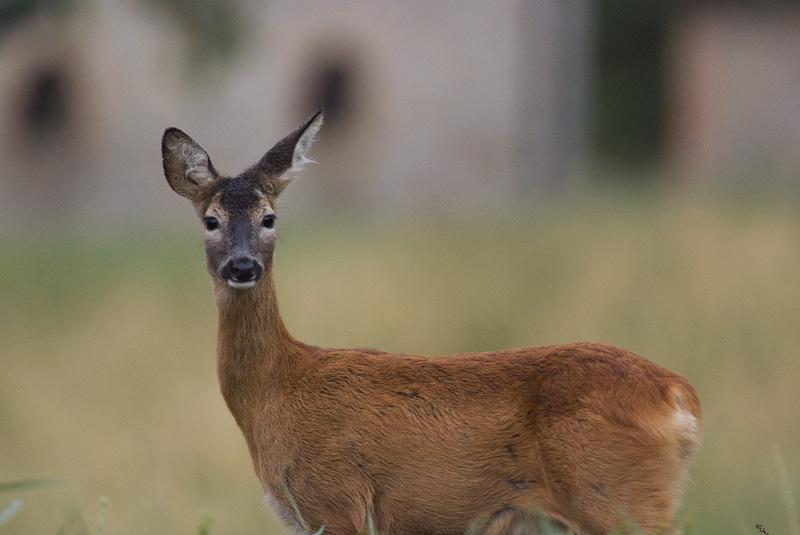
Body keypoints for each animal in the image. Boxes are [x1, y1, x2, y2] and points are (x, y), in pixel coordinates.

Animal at [161, 110, 700, 535]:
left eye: (269, 218)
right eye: (211, 220)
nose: (242, 266)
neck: (275, 391)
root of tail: (678, 395)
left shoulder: (336, 502)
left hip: (615, 496)